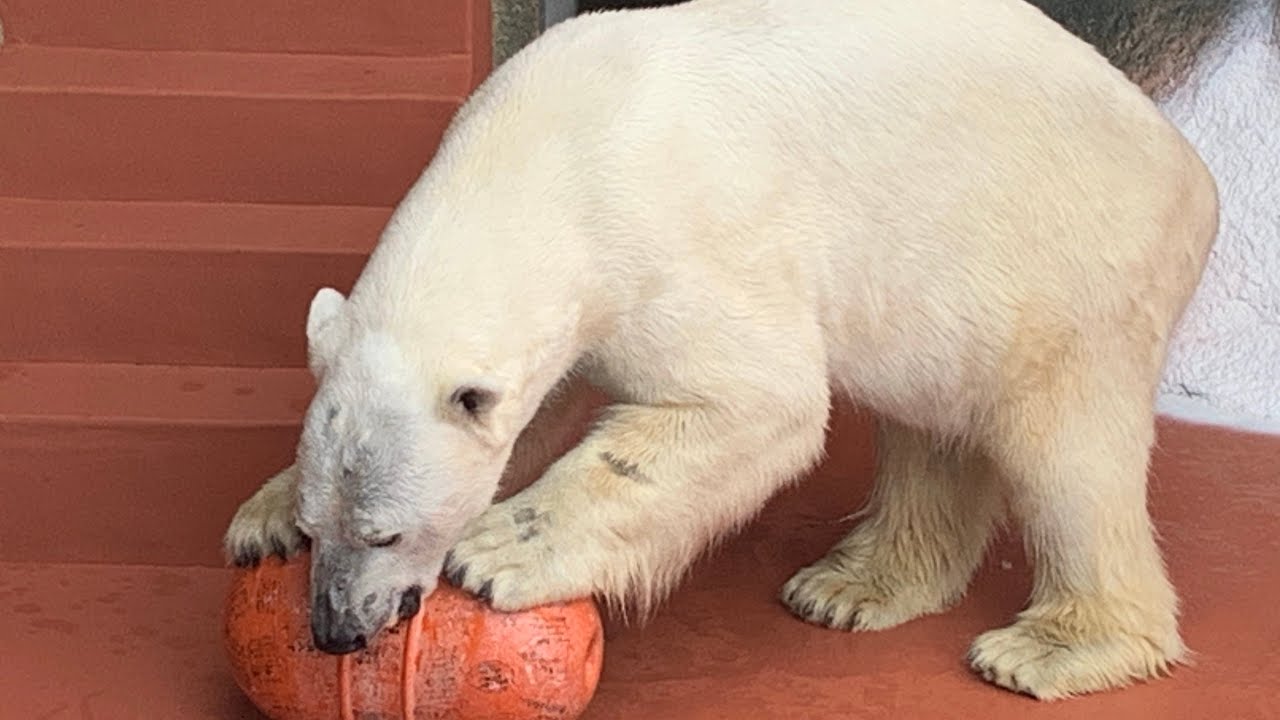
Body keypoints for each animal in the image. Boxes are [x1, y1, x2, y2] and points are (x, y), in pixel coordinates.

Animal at [224, 0, 1219, 700]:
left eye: (387, 533)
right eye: (323, 525)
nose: (338, 631)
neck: (547, 149)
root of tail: (1194, 172)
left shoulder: (671, 239)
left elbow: (761, 403)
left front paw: (499, 551)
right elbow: (537, 414)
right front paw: (260, 517)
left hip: (1070, 261)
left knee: (1066, 454)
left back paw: (1050, 648)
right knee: (932, 424)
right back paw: (851, 585)